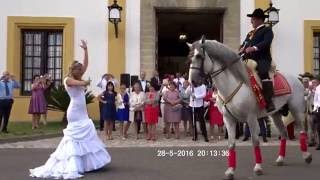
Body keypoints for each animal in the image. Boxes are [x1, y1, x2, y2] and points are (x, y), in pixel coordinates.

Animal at [188, 37, 312, 180]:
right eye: (189, 57)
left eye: (199, 56)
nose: (192, 81)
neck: (232, 84)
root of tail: (297, 79)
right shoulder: (228, 119)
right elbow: (231, 144)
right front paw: (230, 171)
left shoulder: (251, 118)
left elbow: (255, 141)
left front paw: (258, 167)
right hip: (275, 114)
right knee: (283, 132)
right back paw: (281, 158)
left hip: (296, 110)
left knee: (302, 131)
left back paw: (307, 156)